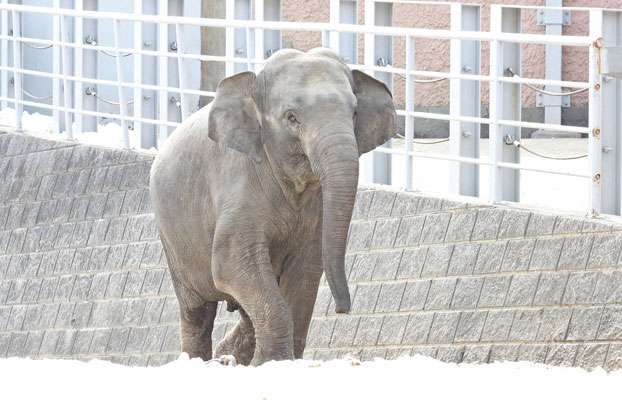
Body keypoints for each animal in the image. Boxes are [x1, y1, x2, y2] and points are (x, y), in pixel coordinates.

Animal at [149, 47, 398, 368]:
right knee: (198, 311)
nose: (343, 310)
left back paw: (225, 358)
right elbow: (232, 263)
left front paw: (279, 362)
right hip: (174, 240)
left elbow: (306, 269)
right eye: (292, 118)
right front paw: (272, 363)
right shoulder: (237, 185)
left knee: (245, 311)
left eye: (354, 113)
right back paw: (199, 361)